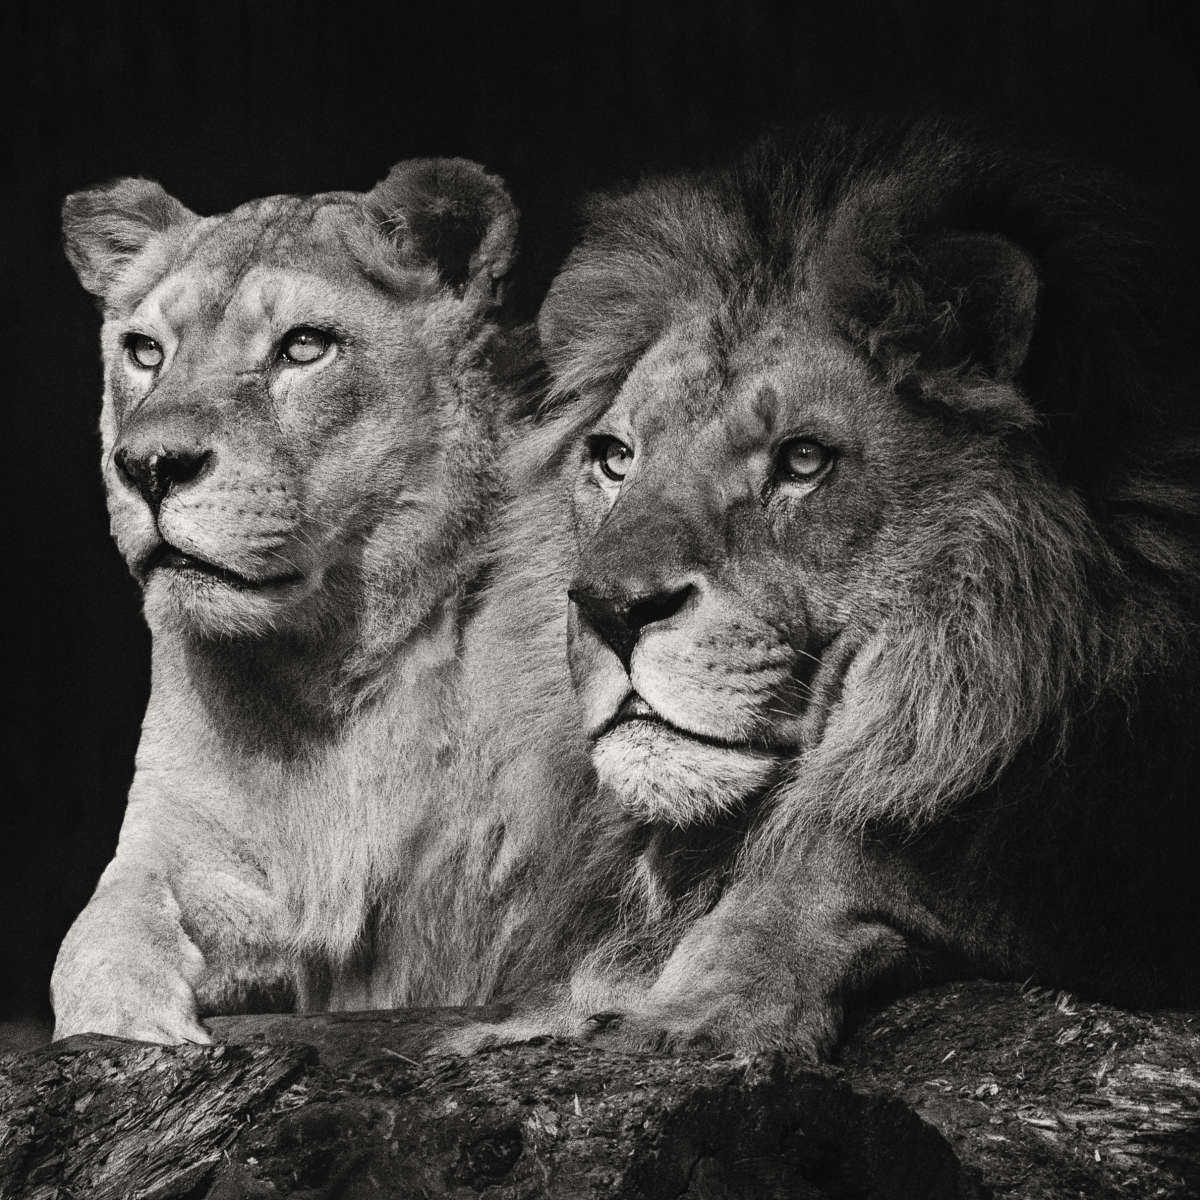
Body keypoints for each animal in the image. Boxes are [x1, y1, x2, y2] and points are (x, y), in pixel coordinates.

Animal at [51, 157, 597, 1042]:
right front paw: (127, 1023)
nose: (148, 466)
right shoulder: (184, 843)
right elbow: (99, 926)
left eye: (304, 346)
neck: (328, 668)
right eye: (144, 351)